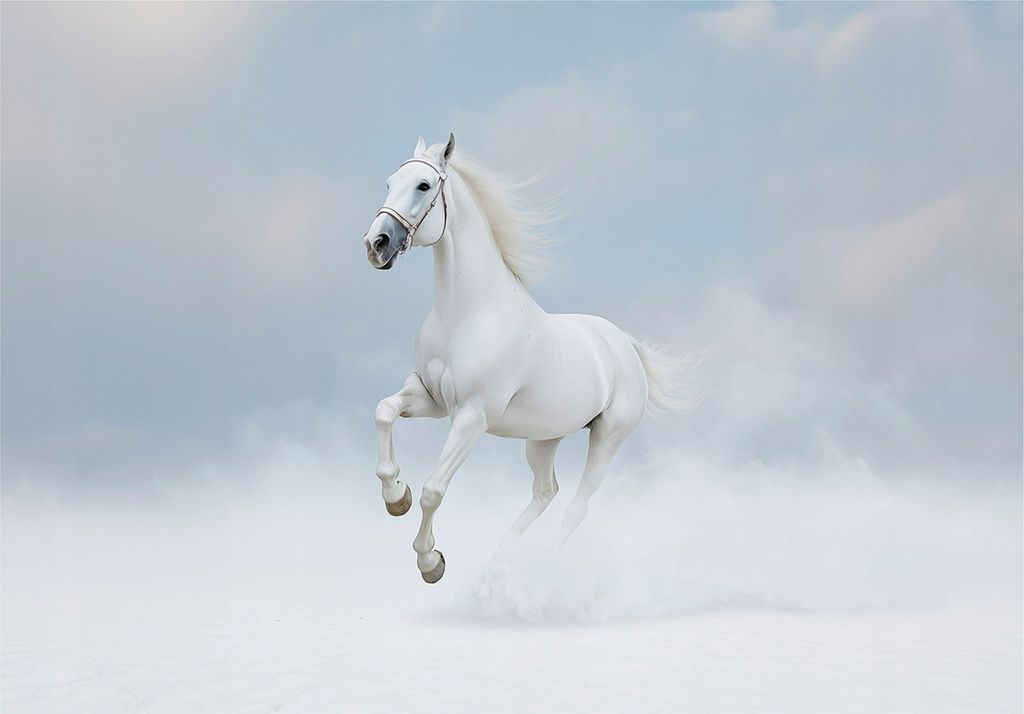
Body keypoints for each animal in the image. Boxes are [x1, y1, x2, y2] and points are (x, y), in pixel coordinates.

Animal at [362, 133, 691, 583]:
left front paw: (431, 562)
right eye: (390, 182)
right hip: (543, 438)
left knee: (576, 506)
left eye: (423, 186)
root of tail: (624, 345)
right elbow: (384, 411)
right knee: (545, 491)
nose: (376, 245)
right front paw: (396, 497)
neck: (468, 313)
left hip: (607, 438)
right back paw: (501, 556)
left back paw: (544, 569)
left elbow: (433, 491)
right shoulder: (429, 398)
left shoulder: (471, 416)